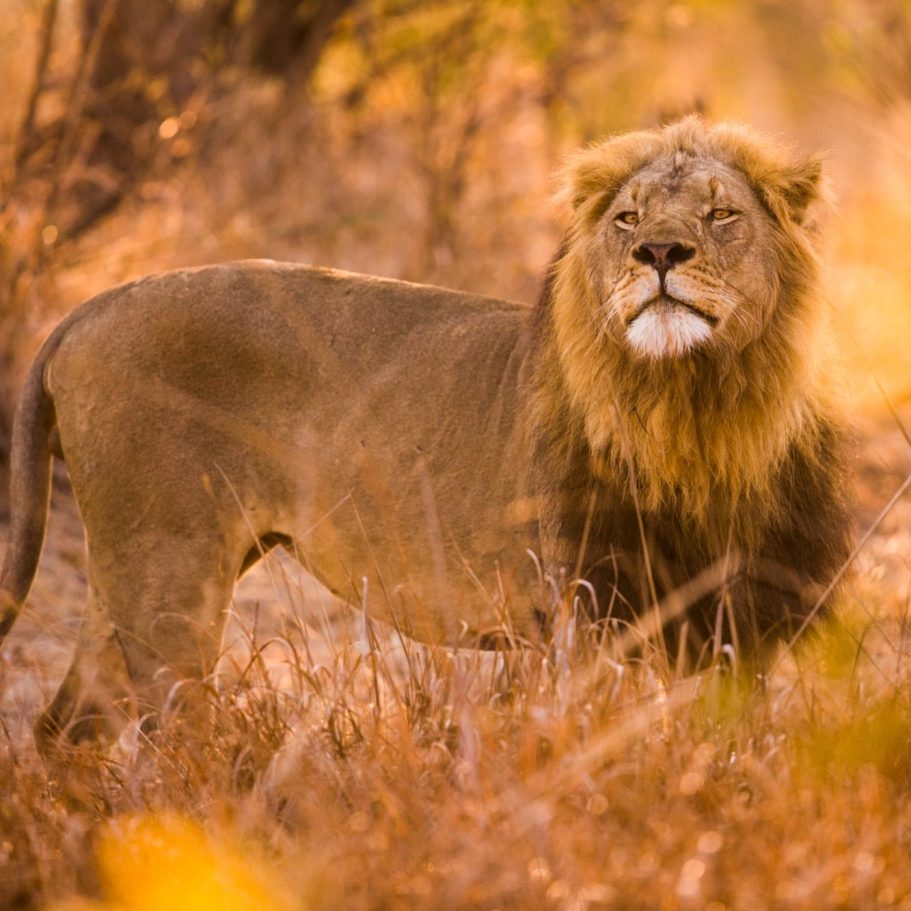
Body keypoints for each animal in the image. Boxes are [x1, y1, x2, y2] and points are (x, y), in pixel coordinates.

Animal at [0, 117, 851, 748]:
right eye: (628, 218)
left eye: (722, 214)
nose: (660, 252)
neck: (696, 408)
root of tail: (85, 310)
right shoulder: (585, 612)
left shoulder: (741, 625)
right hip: (168, 579)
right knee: (169, 739)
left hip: (131, 578)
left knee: (64, 726)